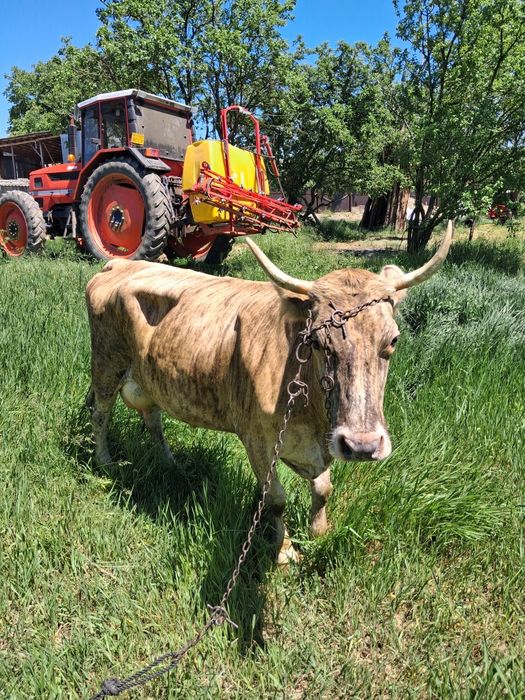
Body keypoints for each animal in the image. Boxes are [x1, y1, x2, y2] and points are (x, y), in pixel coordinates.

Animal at [85, 222, 453, 564]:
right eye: (316, 342)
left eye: (393, 340)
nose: (361, 445)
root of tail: (118, 265)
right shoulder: (258, 439)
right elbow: (275, 499)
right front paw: (285, 551)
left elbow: (323, 489)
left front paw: (319, 532)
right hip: (106, 365)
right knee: (100, 415)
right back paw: (106, 462)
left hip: (147, 378)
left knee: (153, 420)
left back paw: (171, 463)